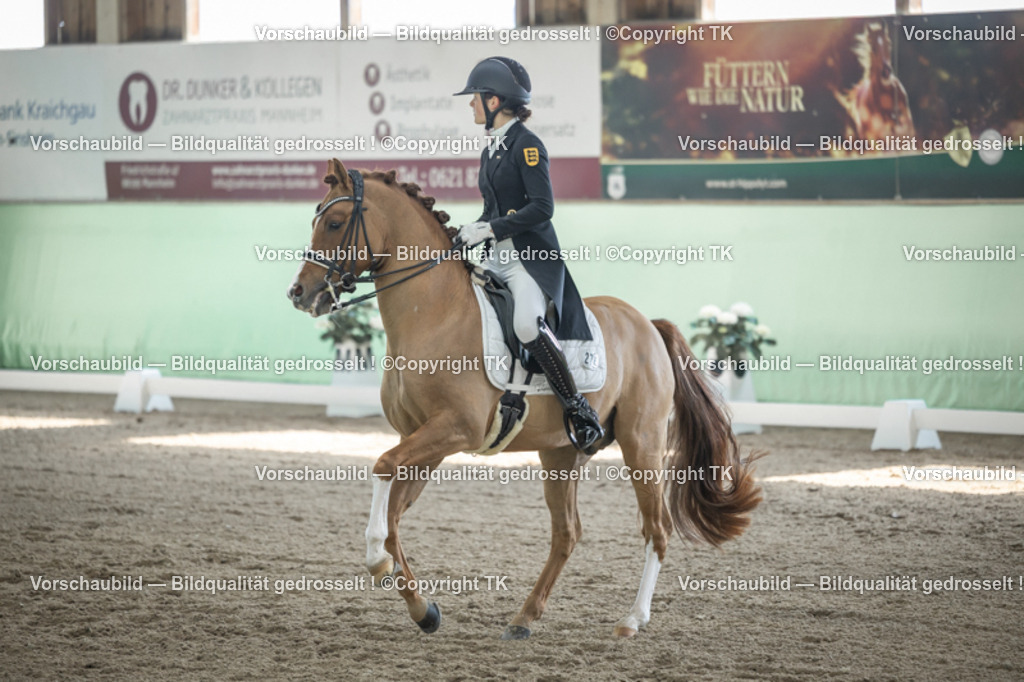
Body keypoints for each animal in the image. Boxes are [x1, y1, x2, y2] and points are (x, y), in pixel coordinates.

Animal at [287, 159, 762, 639]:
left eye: (334, 222)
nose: (299, 293)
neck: (435, 313)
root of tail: (647, 323)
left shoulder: (456, 429)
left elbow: (383, 469)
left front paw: (378, 562)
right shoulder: (421, 438)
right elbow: (393, 520)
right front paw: (423, 608)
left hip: (641, 443)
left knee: (656, 528)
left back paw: (632, 619)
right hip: (561, 453)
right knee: (567, 533)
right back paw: (524, 616)